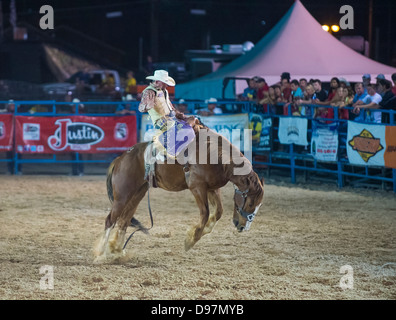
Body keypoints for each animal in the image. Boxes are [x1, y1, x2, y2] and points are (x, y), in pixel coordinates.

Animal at [93, 127, 262, 262]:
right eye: (251, 203)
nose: (243, 227)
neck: (214, 154)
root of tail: (120, 158)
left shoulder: (212, 189)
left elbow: (218, 212)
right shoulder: (197, 187)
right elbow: (205, 213)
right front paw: (191, 240)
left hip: (137, 193)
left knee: (124, 220)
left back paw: (117, 251)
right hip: (123, 195)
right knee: (110, 220)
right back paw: (100, 255)